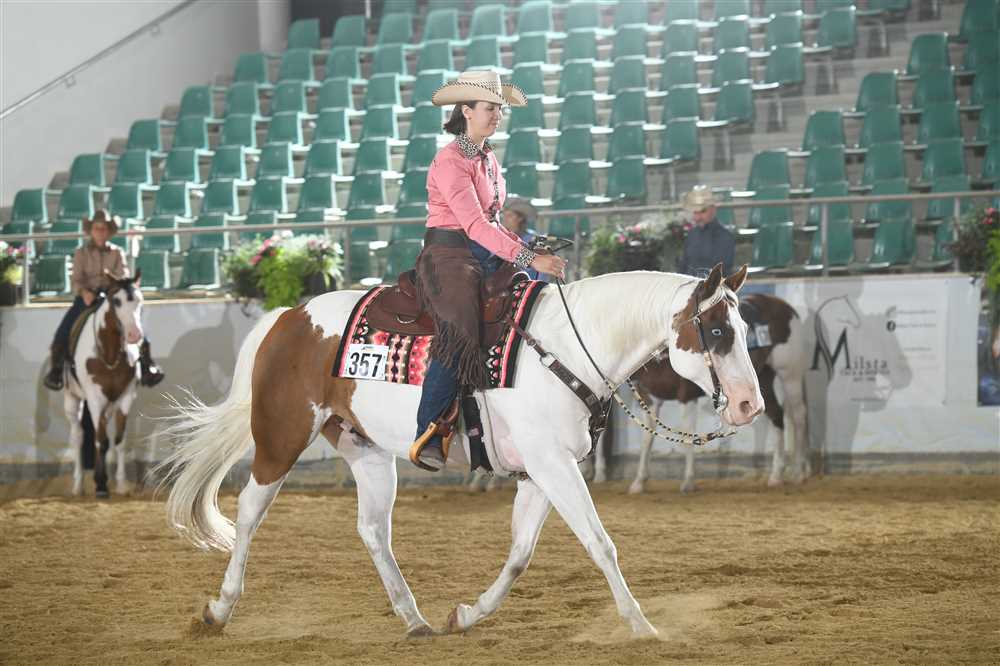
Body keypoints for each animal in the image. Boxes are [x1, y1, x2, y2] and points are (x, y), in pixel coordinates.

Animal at [62, 272, 145, 497]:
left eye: (140, 299)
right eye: (116, 301)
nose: (135, 335)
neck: (109, 354)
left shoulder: (126, 397)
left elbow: (118, 440)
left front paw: (121, 483)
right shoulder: (95, 399)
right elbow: (101, 441)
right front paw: (100, 484)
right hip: (72, 400)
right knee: (78, 437)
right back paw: (78, 485)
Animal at [155, 265, 764, 638]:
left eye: (742, 325)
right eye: (715, 330)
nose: (749, 404)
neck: (565, 349)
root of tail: (288, 316)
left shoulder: (541, 471)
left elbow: (519, 554)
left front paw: (466, 615)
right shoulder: (552, 465)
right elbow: (600, 544)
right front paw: (640, 626)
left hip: (366, 450)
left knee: (373, 530)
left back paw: (414, 618)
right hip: (280, 438)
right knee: (249, 515)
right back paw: (218, 609)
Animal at [605, 293, 809, 494]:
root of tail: (786, 308)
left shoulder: (686, 396)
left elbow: (687, 435)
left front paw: (688, 481)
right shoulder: (649, 397)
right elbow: (647, 439)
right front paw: (639, 482)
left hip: (790, 376)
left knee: (798, 416)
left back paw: (799, 473)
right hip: (762, 379)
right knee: (777, 416)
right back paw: (776, 476)